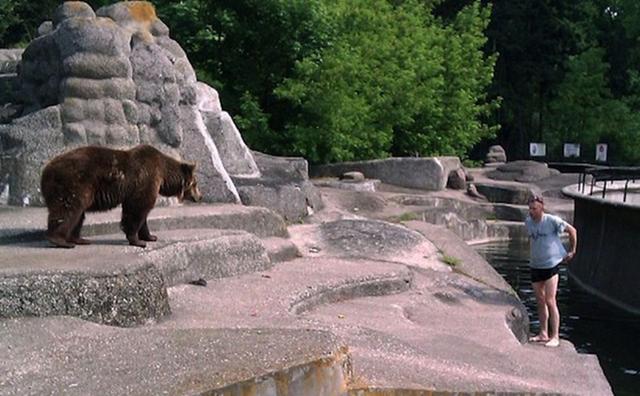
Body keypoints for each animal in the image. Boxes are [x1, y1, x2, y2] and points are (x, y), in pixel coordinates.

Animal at [40, 145, 200, 248]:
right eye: (195, 184)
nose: (200, 196)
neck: (164, 175)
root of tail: (45, 170)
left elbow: (140, 212)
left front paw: (150, 236)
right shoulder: (146, 179)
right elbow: (138, 209)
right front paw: (138, 240)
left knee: (77, 215)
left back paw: (79, 239)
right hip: (73, 183)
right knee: (68, 209)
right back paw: (61, 241)